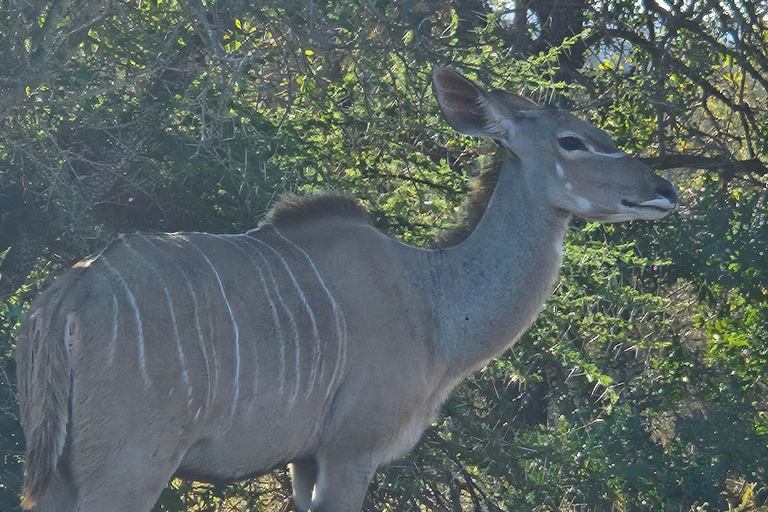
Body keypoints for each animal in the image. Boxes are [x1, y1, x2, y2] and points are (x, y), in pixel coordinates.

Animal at [16, 68, 680, 512]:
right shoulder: (349, 453)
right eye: (573, 141)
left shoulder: (304, 462)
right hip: (127, 466)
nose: (663, 189)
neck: (433, 300)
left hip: (58, 471)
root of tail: (71, 293)